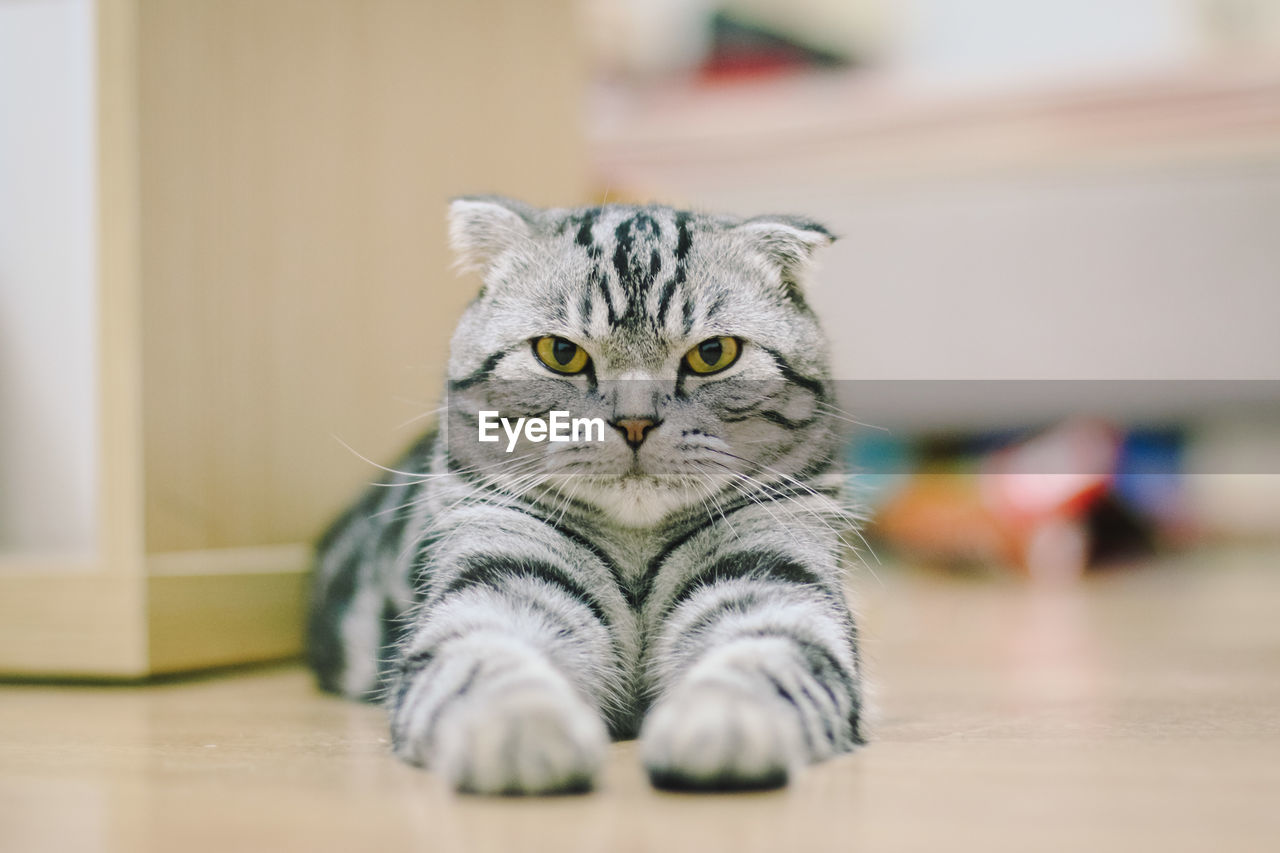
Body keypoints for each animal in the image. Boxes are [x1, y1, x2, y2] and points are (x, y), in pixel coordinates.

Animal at [305, 195, 865, 794]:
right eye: (559, 353)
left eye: (713, 353)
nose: (635, 422)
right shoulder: (497, 586)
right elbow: (488, 664)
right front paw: (522, 731)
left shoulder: (777, 583)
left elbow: (760, 662)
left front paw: (723, 724)